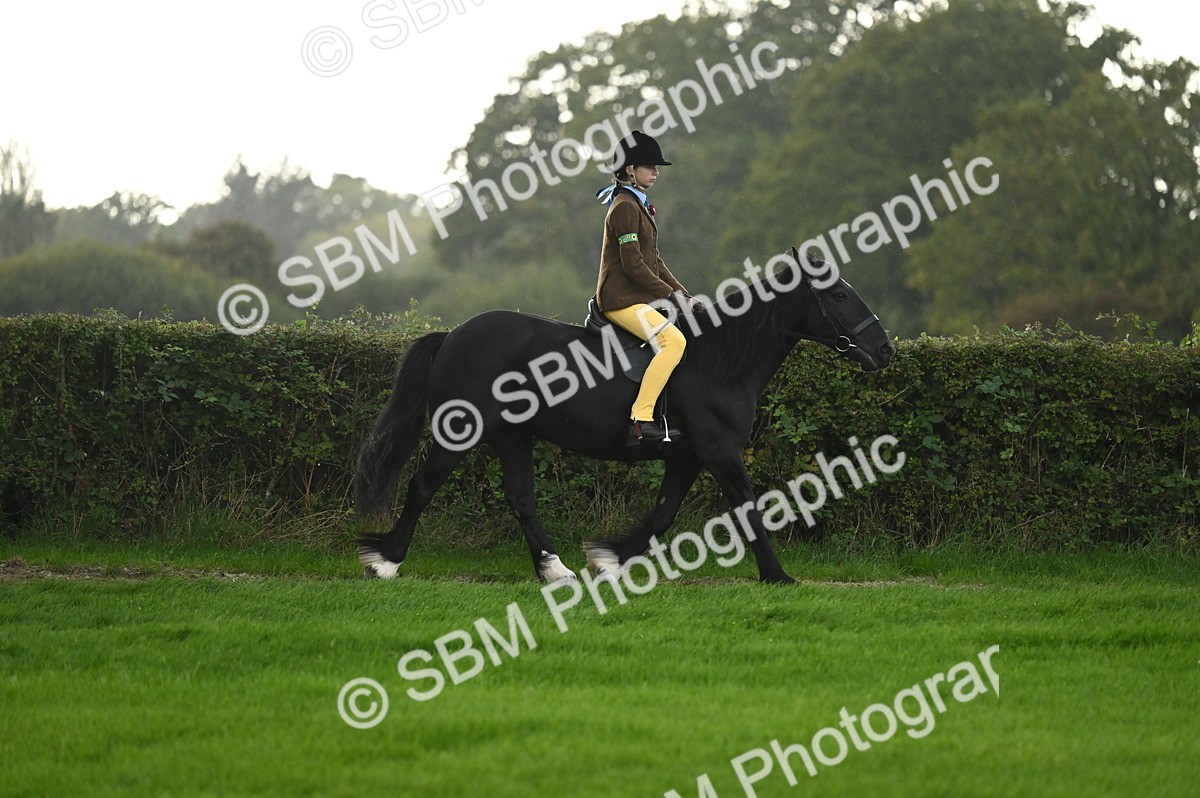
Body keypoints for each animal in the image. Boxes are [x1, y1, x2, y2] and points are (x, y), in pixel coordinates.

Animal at [354, 248, 895, 584]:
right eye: (840, 295)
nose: (885, 350)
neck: (720, 359)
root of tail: (453, 335)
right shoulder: (720, 452)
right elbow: (748, 508)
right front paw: (778, 576)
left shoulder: (688, 457)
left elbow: (663, 513)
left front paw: (609, 558)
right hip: (464, 433)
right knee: (423, 485)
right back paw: (386, 561)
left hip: (513, 436)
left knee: (522, 498)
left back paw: (555, 570)